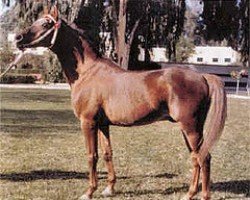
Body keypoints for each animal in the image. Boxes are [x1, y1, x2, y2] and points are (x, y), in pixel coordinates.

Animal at [15, 6, 227, 200]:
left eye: (46, 24)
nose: (18, 38)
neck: (88, 72)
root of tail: (203, 76)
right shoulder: (102, 124)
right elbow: (107, 153)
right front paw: (109, 189)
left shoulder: (88, 122)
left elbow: (92, 156)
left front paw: (89, 192)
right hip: (189, 128)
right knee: (196, 157)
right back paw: (189, 194)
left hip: (190, 127)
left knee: (203, 157)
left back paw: (202, 195)